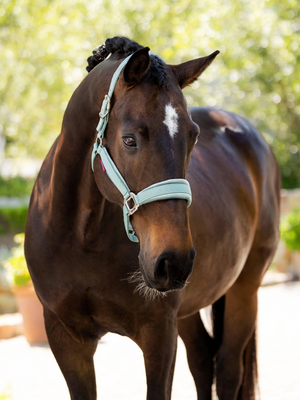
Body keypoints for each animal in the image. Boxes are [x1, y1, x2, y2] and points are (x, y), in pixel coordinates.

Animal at [24, 37, 280, 400]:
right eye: (130, 139)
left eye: (193, 137)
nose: (173, 261)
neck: (80, 237)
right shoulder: (65, 337)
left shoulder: (158, 334)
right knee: (202, 358)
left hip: (245, 287)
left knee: (229, 367)